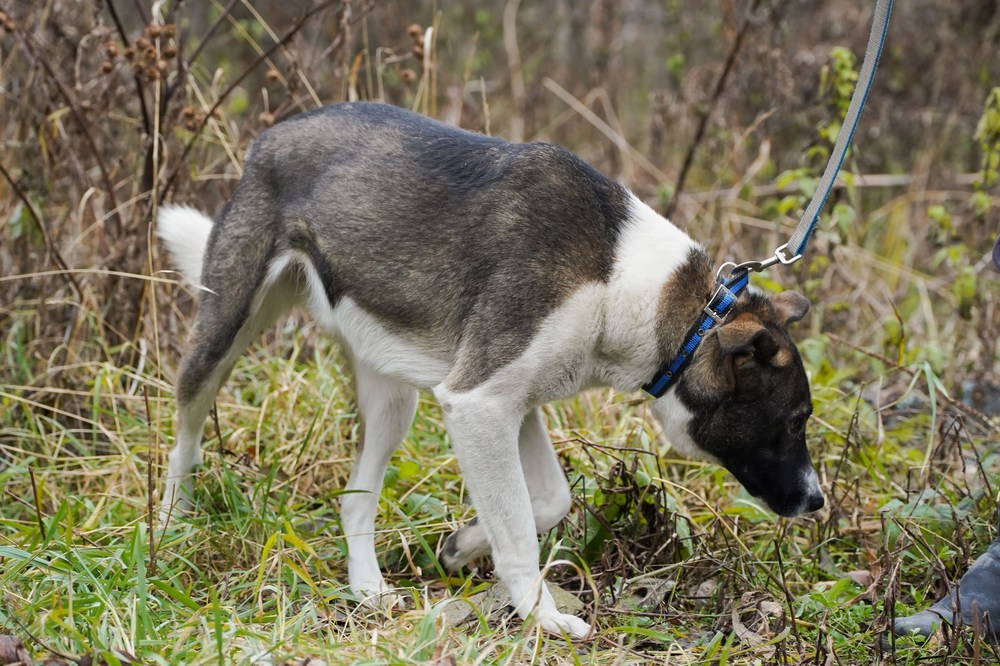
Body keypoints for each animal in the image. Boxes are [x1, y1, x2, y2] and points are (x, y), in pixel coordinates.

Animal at [157, 101, 824, 639]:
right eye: (795, 421)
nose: (818, 503)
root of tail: (271, 136)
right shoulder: (478, 403)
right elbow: (522, 530)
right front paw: (541, 617)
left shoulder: (512, 406)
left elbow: (545, 501)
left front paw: (461, 548)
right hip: (223, 333)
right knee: (185, 434)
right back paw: (168, 527)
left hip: (392, 398)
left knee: (355, 502)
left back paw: (368, 589)